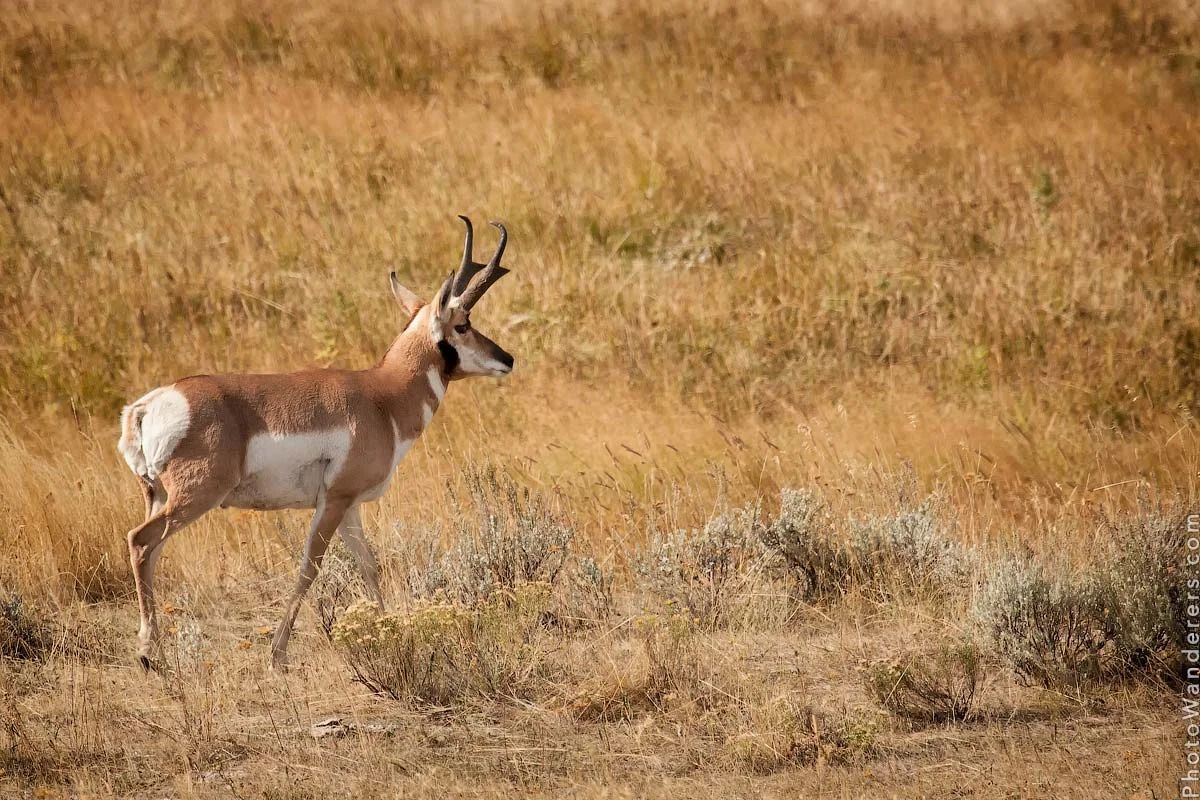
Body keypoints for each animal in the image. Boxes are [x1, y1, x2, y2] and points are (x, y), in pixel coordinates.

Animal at [116, 216, 514, 670]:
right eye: (462, 323)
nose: (508, 359)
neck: (382, 396)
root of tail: (149, 405)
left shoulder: (351, 508)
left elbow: (370, 566)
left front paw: (392, 630)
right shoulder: (333, 502)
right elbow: (309, 568)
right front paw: (278, 655)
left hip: (161, 498)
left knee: (151, 553)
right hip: (194, 497)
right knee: (140, 541)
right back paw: (149, 655)